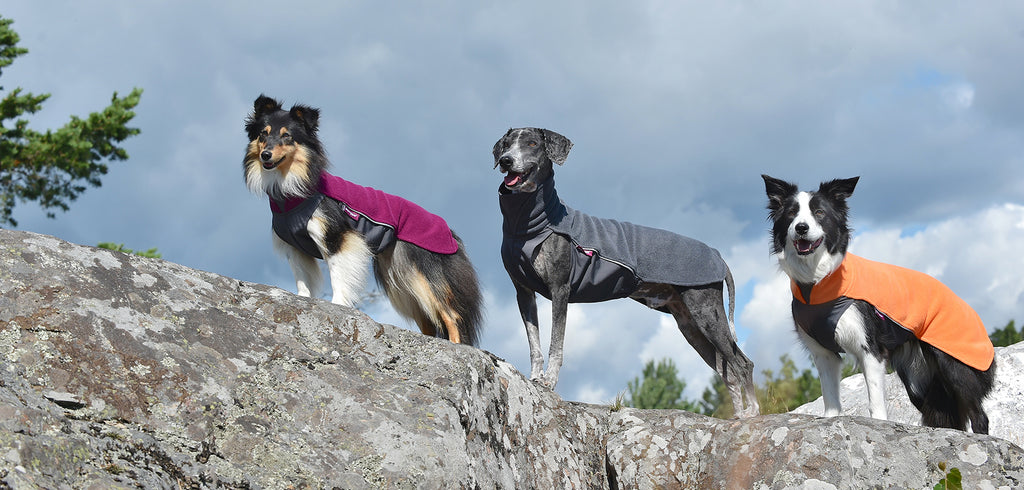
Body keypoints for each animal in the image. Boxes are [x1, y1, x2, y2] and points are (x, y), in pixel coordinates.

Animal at [241, 96, 481, 347]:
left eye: (287, 136)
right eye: (263, 134)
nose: (266, 155)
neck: (294, 189)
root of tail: (450, 232)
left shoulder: (338, 238)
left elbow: (338, 275)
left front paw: (337, 305)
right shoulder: (295, 248)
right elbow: (302, 280)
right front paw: (301, 299)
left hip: (424, 274)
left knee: (451, 314)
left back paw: (456, 346)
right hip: (401, 280)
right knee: (429, 321)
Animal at [491, 127, 765, 417]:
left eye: (532, 143)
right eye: (507, 144)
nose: (506, 160)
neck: (531, 224)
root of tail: (718, 256)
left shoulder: (560, 290)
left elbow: (556, 345)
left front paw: (549, 382)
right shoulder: (523, 292)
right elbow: (535, 344)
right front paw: (534, 378)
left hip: (707, 313)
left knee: (743, 363)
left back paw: (752, 412)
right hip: (690, 326)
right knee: (728, 372)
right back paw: (738, 416)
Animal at [765, 175, 995, 433]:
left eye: (819, 212)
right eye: (791, 214)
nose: (801, 228)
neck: (817, 283)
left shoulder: (870, 349)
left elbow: (874, 400)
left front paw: (878, 424)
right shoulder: (823, 353)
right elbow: (830, 397)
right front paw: (829, 422)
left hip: (953, 364)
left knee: (979, 415)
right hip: (918, 379)